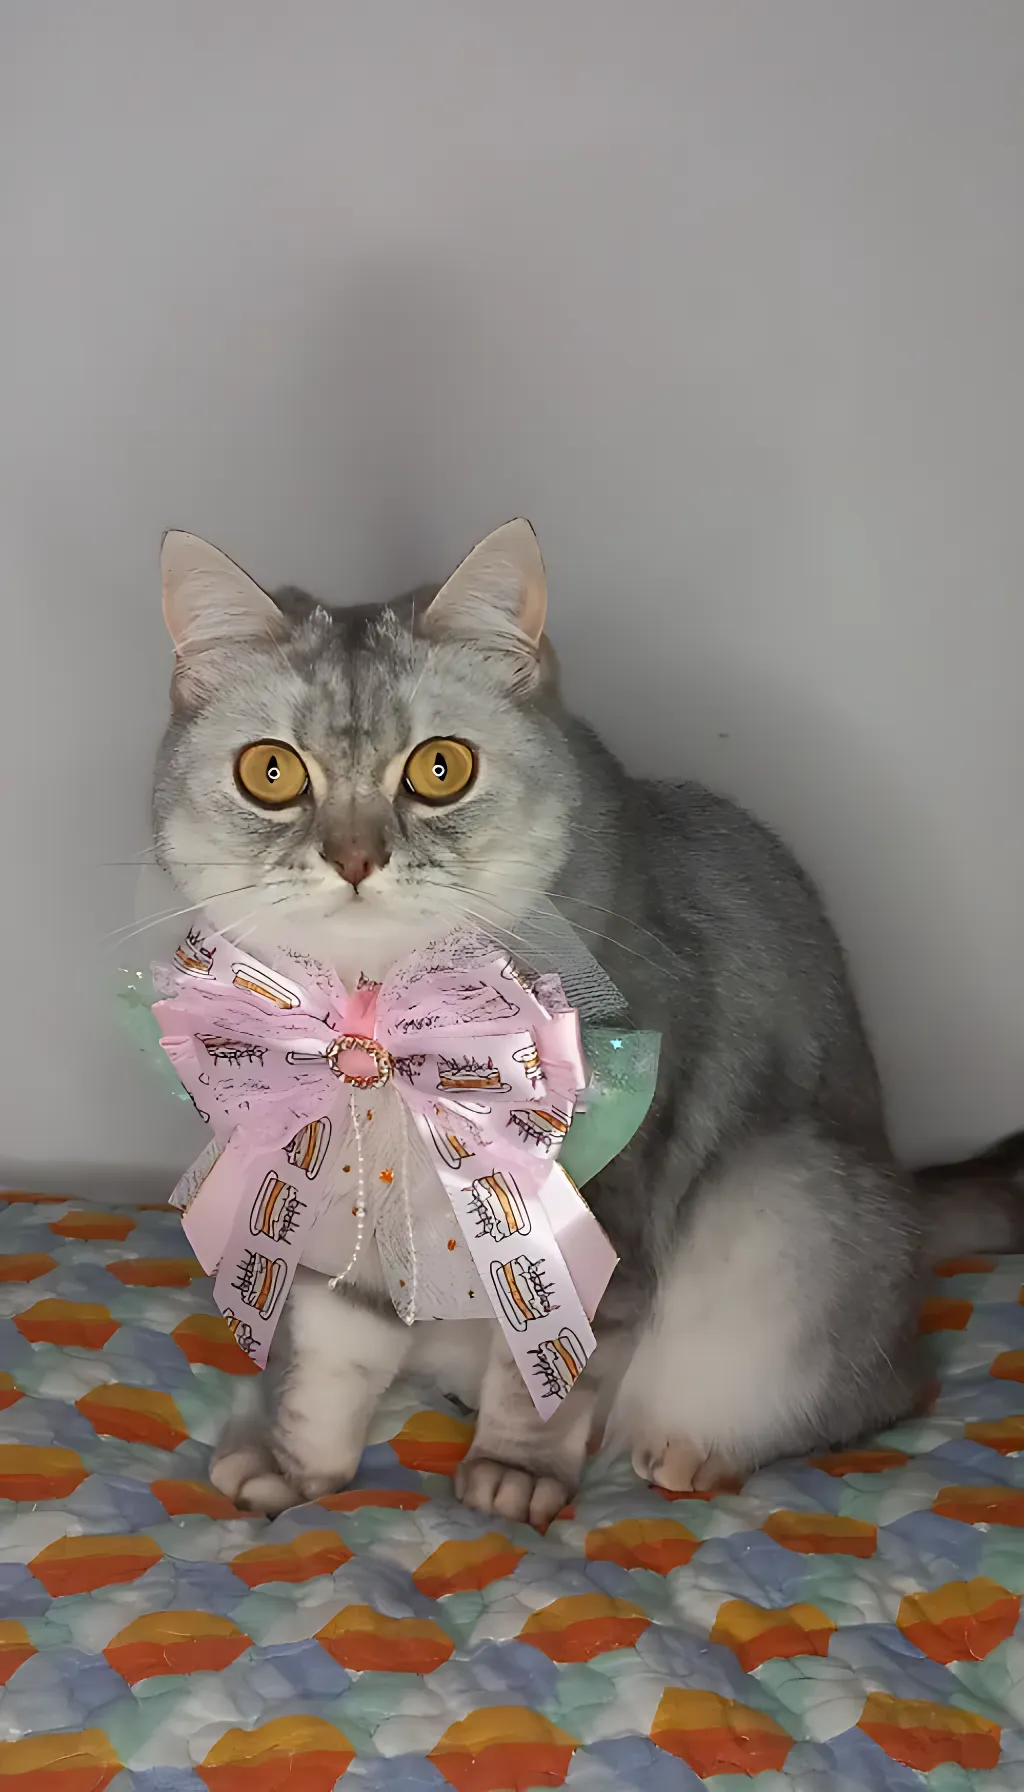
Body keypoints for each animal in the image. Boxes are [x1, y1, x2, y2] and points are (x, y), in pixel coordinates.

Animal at [152, 519, 1024, 1526]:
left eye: (440, 769)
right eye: (272, 772)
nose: (356, 857)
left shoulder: (603, 1199)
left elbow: (551, 1366)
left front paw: (515, 1473)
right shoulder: (344, 1206)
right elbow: (334, 1359)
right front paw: (298, 1472)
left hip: (788, 1205)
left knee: (878, 1397)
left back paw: (695, 1452)